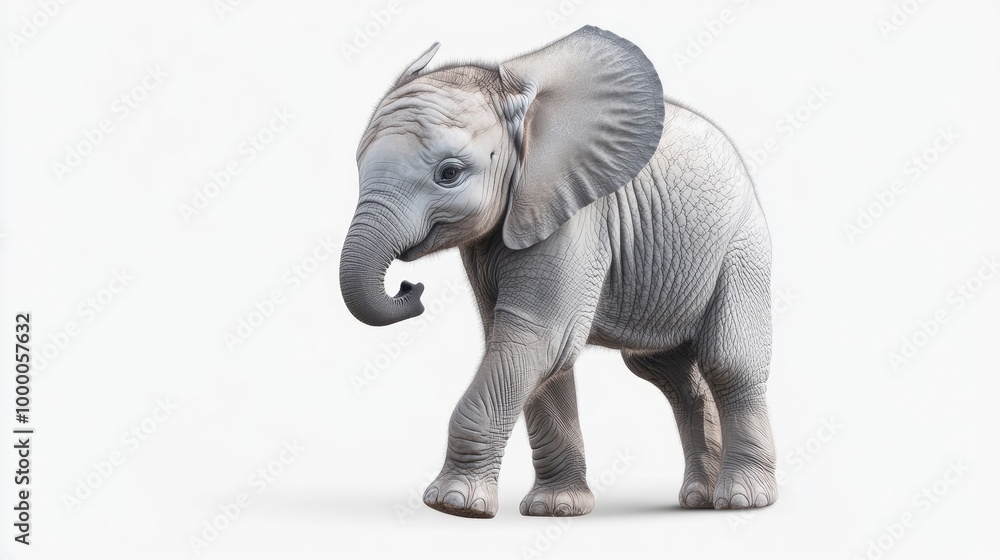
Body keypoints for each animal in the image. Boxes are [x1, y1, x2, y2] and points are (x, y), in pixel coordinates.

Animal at [339, 25, 777, 518]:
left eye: (448, 173)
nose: (410, 288)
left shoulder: (576, 216)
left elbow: (537, 337)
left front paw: (455, 505)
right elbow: (536, 351)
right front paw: (555, 508)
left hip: (743, 247)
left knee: (729, 362)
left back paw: (741, 500)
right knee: (668, 374)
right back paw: (699, 500)